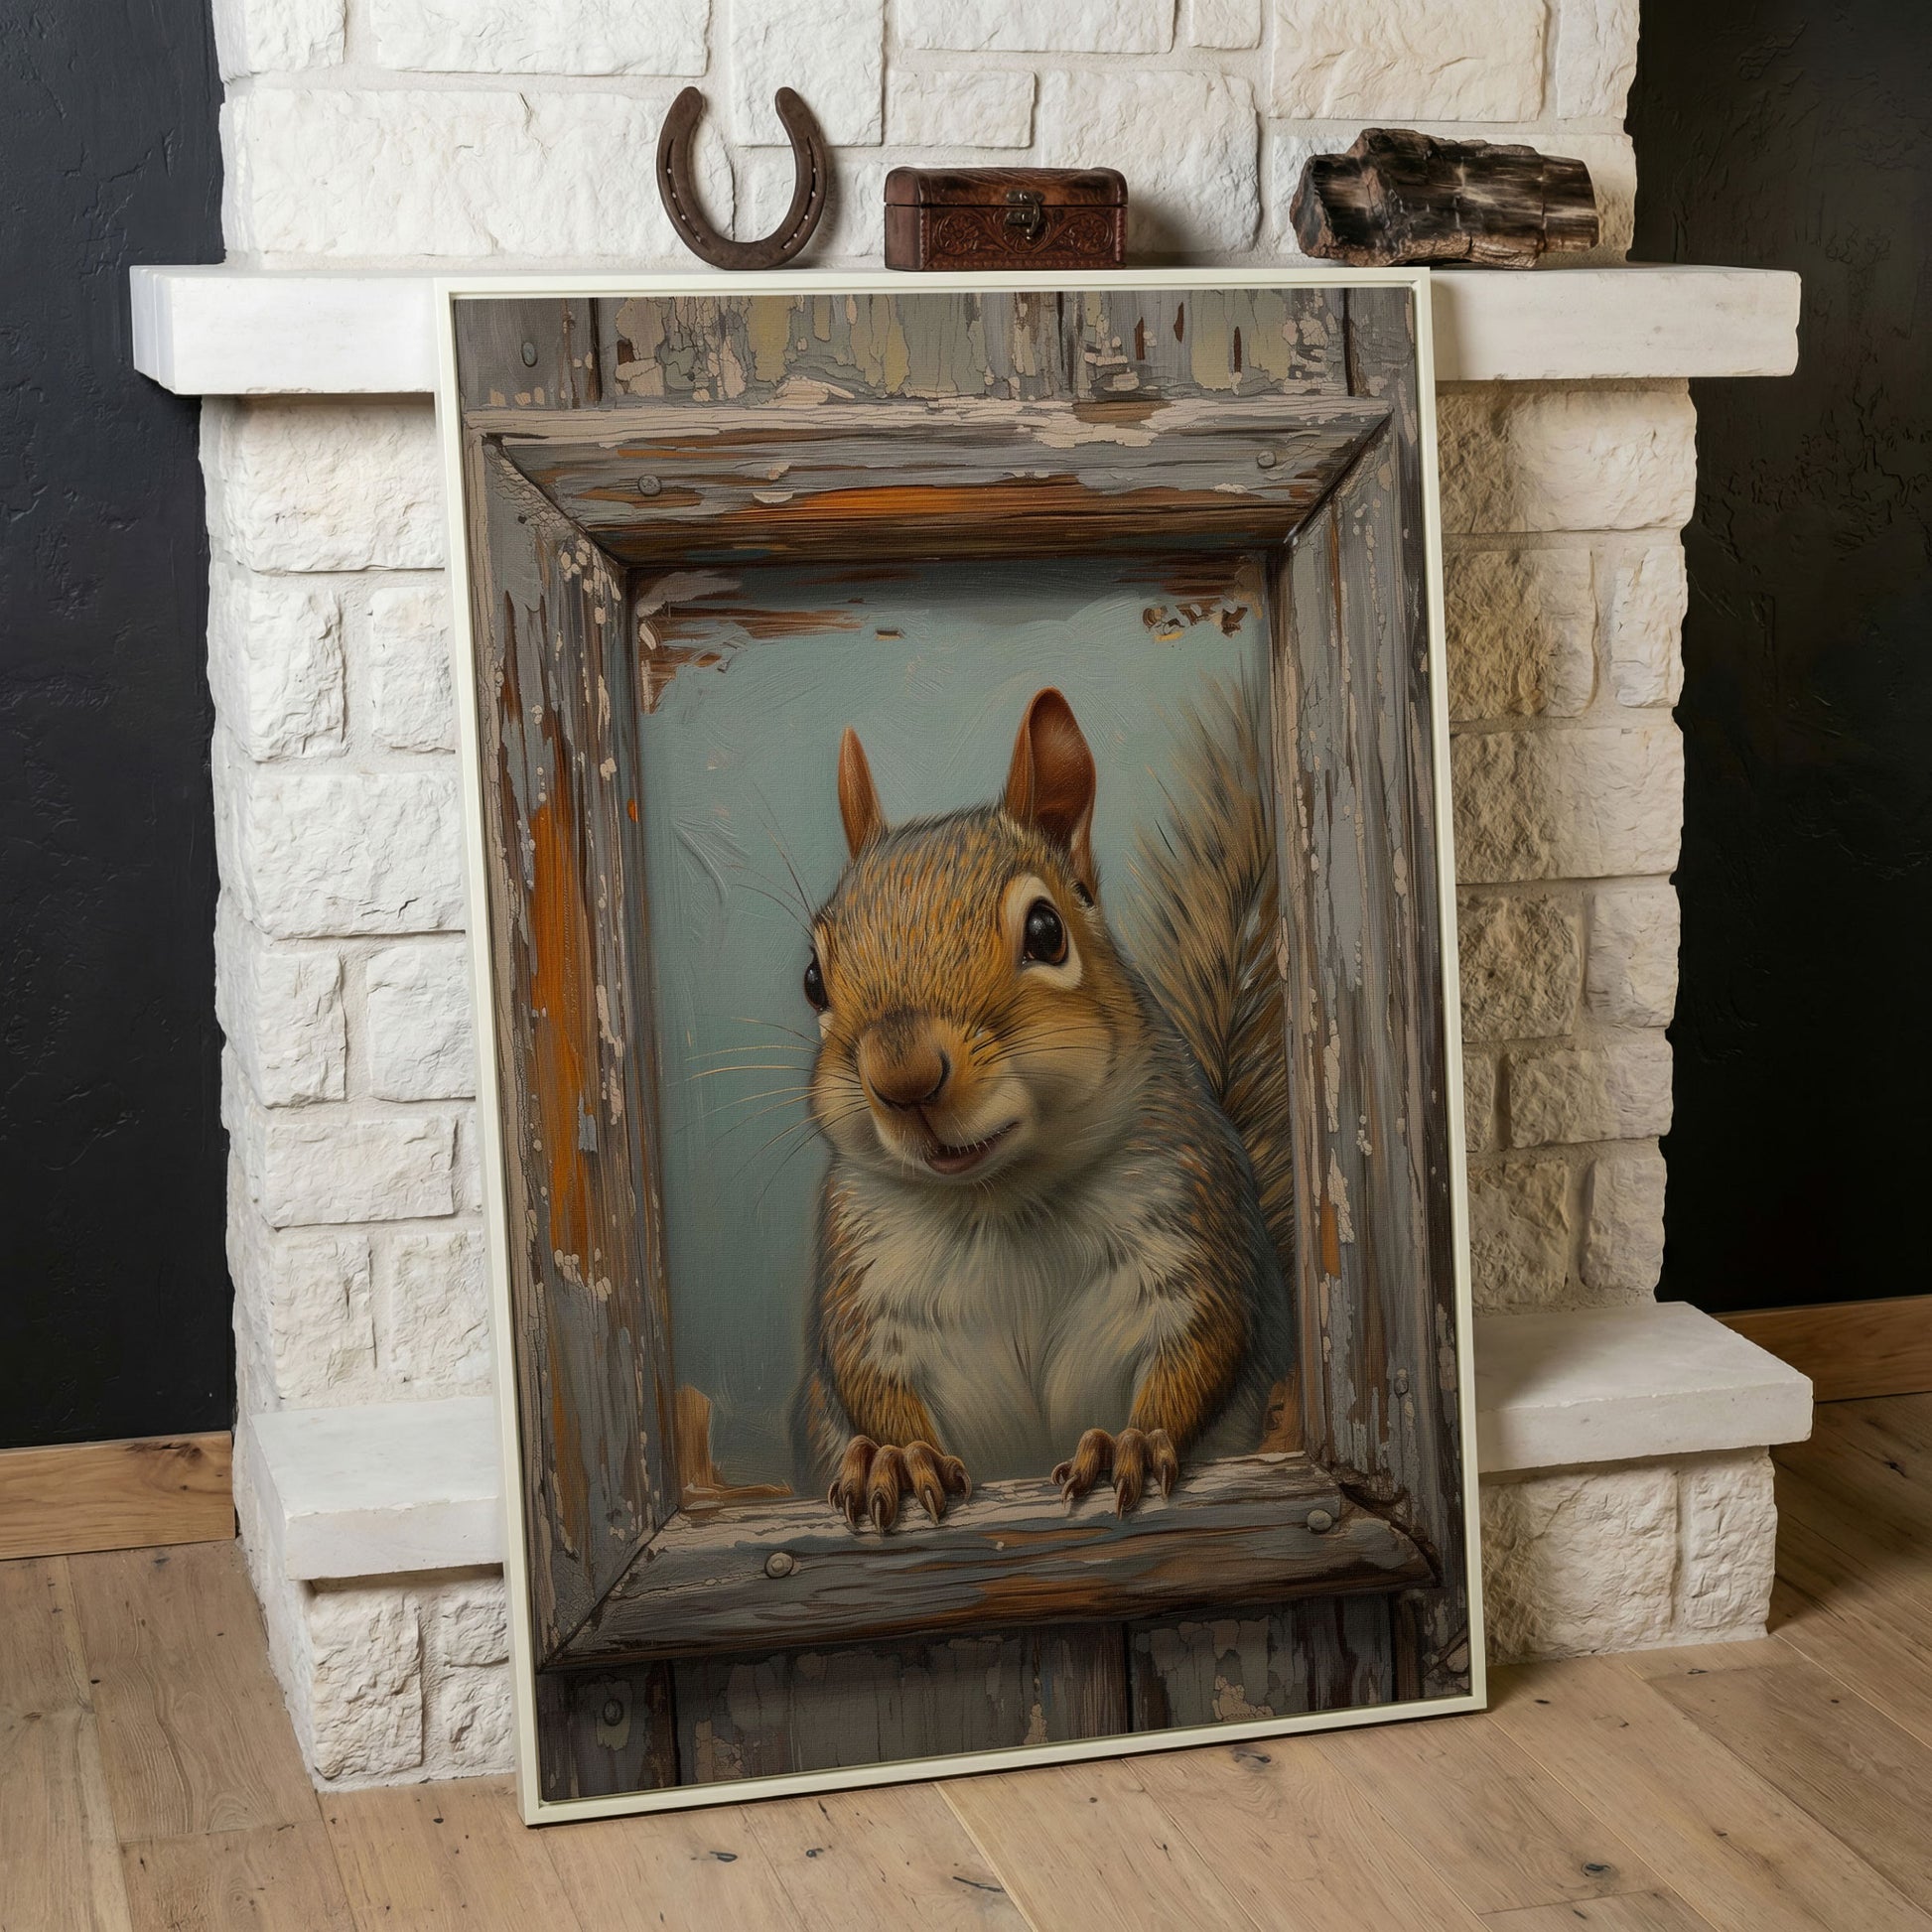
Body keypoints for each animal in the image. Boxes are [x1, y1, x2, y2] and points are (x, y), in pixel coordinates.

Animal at [790, 680, 1297, 1532]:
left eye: (1045, 929)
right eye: (812, 980)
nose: (903, 1076)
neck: (1002, 1204)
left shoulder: (1188, 1230)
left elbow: (1201, 1351)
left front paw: (1129, 1443)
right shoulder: (864, 1284)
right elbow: (868, 1383)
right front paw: (895, 1457)